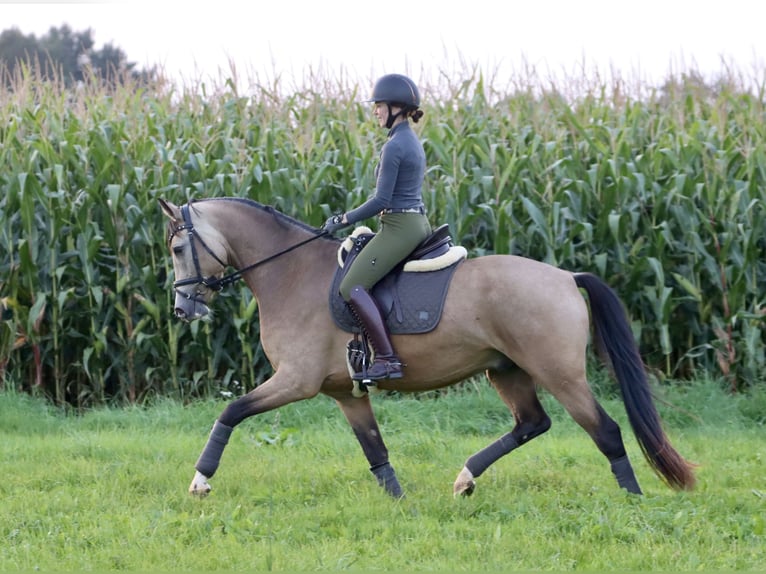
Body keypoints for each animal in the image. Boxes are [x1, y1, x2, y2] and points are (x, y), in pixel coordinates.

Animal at [159, 197, 700, 500]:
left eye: (177, 248)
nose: (184, 309)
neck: (289, 273)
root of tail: (567, 277)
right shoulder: (346, 393)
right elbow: (375, 450)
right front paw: (399, 503)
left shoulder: (296, 381)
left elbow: (230, 412)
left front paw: (200, 483)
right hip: (506, 371)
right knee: (531, 424)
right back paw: (464, 480)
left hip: (559, 374)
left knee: (604, 430)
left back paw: (632, 501)